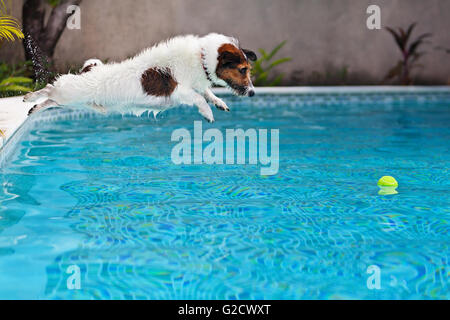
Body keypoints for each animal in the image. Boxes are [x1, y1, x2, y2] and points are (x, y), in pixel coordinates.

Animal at [24, 33, 256, 122]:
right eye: (243, 70)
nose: (253, 93)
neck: (201, 58)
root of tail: (88, 71)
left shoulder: (197, 84)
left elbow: (207, 92)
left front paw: (219, 102)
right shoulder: (179, 90)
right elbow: (198, 97)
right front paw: (207, 113)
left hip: (75, 102)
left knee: (50, 101)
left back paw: (34, 107)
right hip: (69, 93)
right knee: (50, 89)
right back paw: (29, 97)